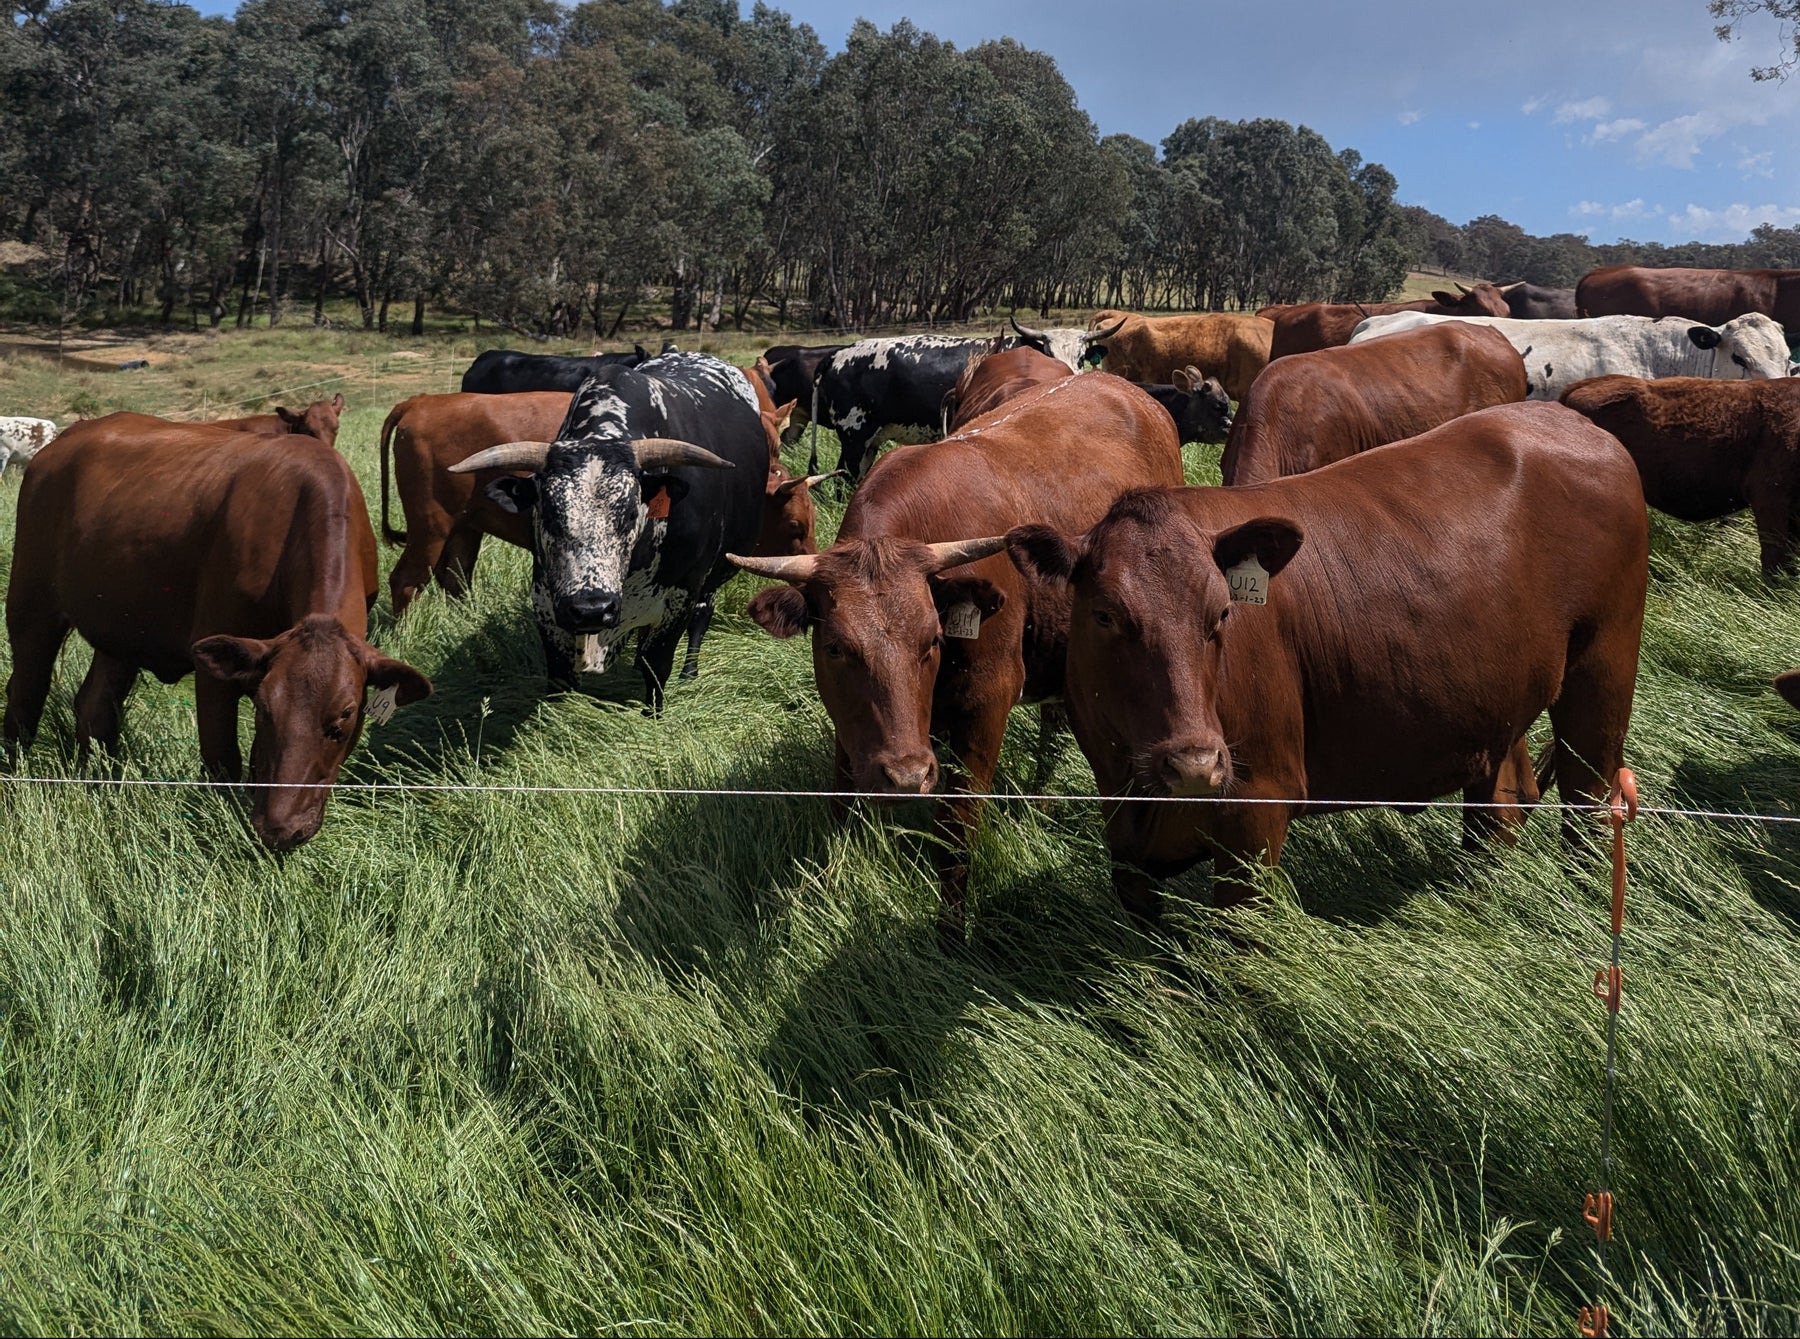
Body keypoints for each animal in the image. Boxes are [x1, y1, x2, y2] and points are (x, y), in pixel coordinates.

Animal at [3, 424, 431, 852]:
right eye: (264, 709)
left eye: (345, 716)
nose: (281, 830)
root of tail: (67, 438)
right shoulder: (214, 666)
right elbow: (222, 761)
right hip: (31, 604)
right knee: (24, 698)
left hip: (121, 628)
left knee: (95, 709)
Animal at [443, 353, 770, 708]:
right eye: (550, 514)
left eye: (630, 513)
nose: (592, 609)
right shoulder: (546, 601)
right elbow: (559, 677)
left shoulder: (682, 594)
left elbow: (655, 665)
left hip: (713, 576)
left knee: (703, 615)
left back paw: (689, 671)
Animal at [725, 372, 1185, 945]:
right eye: (835, 647)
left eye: (933, 641)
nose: (906, 777)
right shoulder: (853, 731)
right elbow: (840, 804)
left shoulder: (986, 707)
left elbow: (957, 833)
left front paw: (950, 936)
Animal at [1002, 401, 1648, 923]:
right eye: (1105, 615)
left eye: (1222, 613)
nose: (1194, 765)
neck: (1140, 793)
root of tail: (1575, 422)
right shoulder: (1125, 844)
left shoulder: (1257, 811)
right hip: (1494, 703)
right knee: (1501, 804)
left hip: (1603, 674)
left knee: (1589, 802)